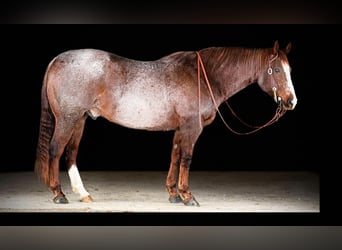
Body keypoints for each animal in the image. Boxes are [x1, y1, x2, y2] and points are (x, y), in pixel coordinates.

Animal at [34, 40, 296, 205]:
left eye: (289, 70)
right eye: (276, 70)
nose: (291, 101)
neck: (204, 77)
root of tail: (57, 59)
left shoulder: (181, 129)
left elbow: (175, 156)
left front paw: (173, 194)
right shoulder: (192, 127)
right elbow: (186, 158)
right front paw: (187, 196)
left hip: (79, 119)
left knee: (70, 153)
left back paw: (82, 193)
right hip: (67, 119)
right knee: (56, 150)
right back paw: (58, 193)